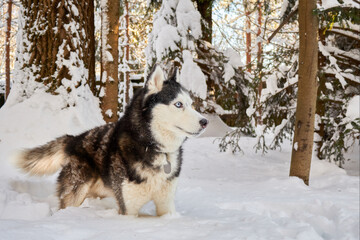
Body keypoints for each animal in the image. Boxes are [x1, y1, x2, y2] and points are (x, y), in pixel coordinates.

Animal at [16, 65, 208, 216]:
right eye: (178, 104)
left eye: (191, 104)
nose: (205, 122)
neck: (151, 146)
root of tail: (74, 139)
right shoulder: (128, 208)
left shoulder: (166, 205)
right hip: (76, 193)